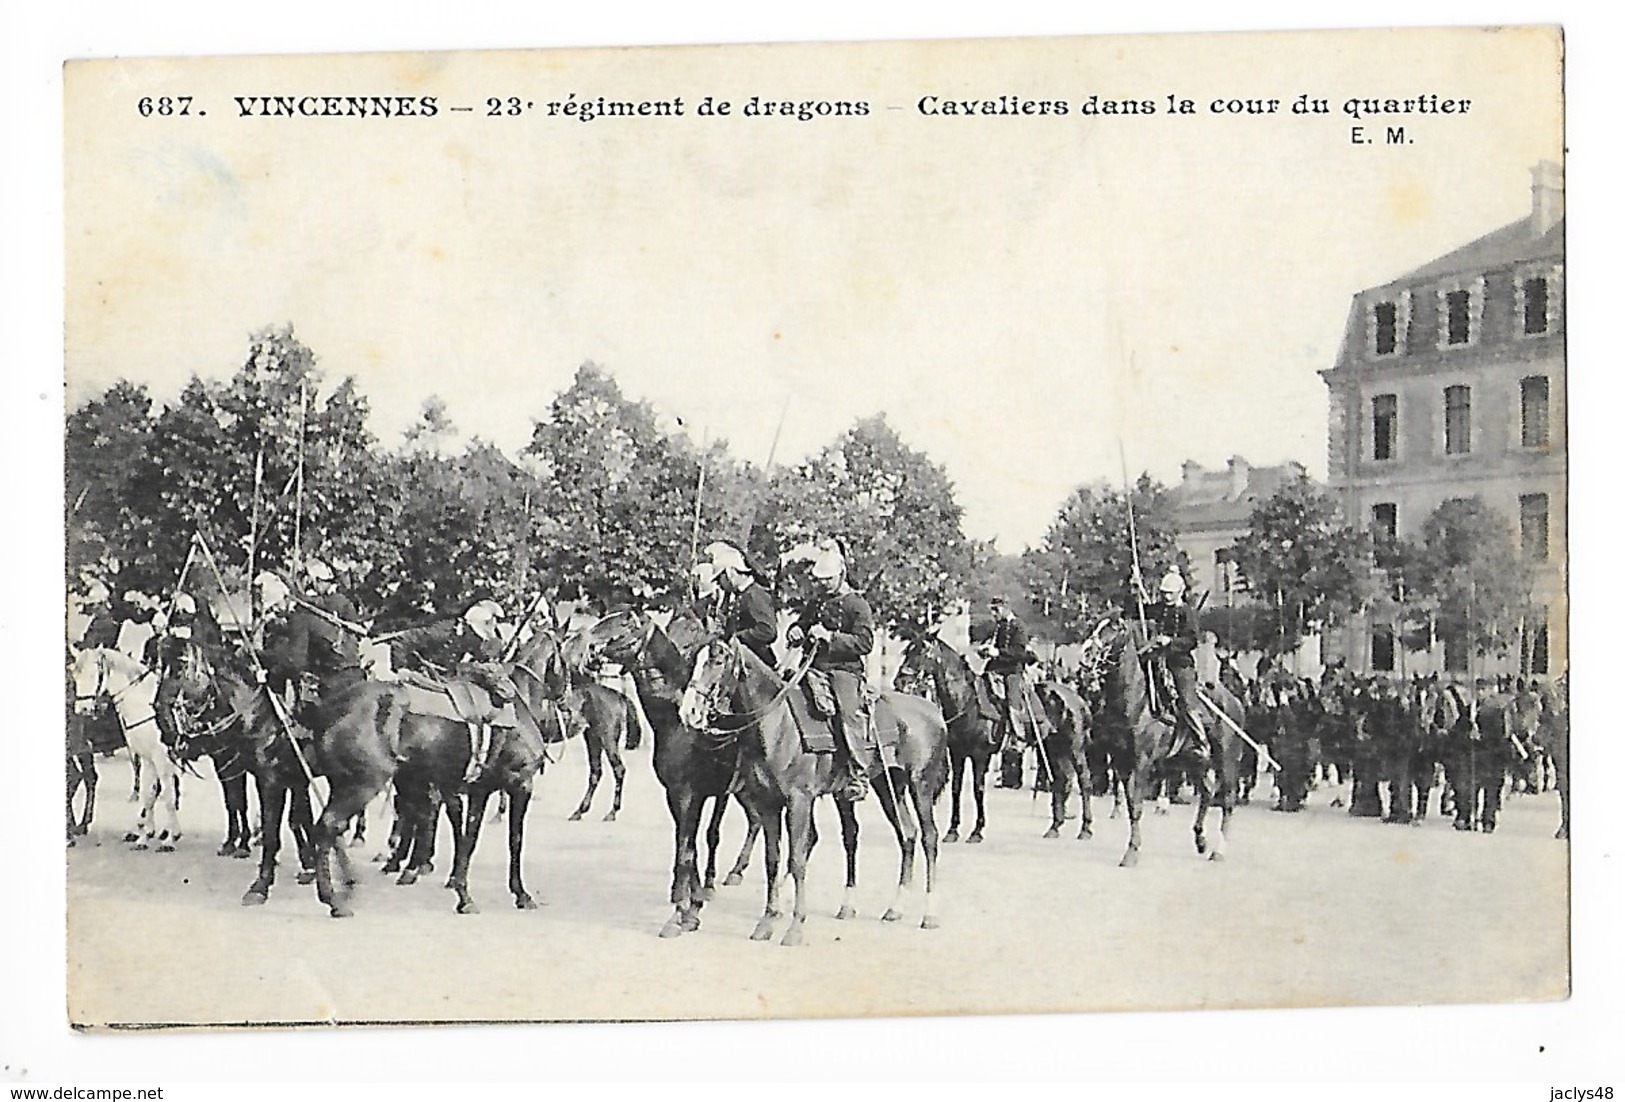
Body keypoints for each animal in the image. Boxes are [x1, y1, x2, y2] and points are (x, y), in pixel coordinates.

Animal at [70, 646, 183, 851]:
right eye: (76, 676)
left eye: (93, 675)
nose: (82, 709)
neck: (147, 705)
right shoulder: (148, 757)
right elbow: (148, 794)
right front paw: (144, 838)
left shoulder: (162, 757)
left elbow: (168, 796)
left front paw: (169, 839)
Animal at [575, 614, 763, 942]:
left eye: (623, 625)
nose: (588, 651)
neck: (678, 725)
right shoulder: (677, 797)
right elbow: (689, 848)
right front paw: (692, 907)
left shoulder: (692, 795)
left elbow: (688, 850)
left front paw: (679, 913)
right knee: (751, 822)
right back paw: (732, 873)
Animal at [676, 640, 949, 949]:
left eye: (718, 661)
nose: (689, 711)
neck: (778, 726)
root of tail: (934, 712)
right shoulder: (769, 804)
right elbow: (772, 860)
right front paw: (766, 922)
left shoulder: (799, 801)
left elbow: (796, 860)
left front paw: (795, 928)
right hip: (889, 788)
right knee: (908, 834)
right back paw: (895, 908)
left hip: (920, 785)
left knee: (929, 837)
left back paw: (929, 914)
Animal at [890, 633, 1001, 838]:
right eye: (908, 650)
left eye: (922, 651)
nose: (900, 681)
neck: (968, 708)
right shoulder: (957, 753)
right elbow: (956, 789)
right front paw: (953, 829)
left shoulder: (981, 755)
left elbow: (978, 790)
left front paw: (977, 830)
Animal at [1085, 620, 1248, 871]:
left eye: (1114, 628)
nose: (1086, 654)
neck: (1135, 700)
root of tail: (1236, 703)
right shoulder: (1121, 763)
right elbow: (1131, 805)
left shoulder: (1141, 763)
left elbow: (1137, 806)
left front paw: (1131, 853)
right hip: (1194, 763)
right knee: (1207, 791)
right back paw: (1200, 839)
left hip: (1227, 761)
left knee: (1228, 801)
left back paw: (1219, 851)